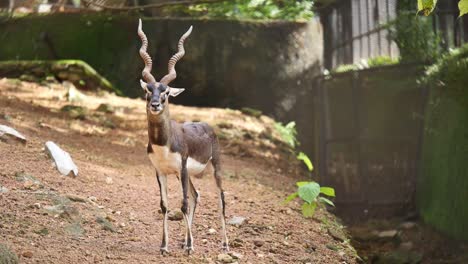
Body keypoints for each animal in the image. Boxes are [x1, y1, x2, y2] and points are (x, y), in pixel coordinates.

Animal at [136, 19, 229, 255]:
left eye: (166, 92)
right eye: (148, 90)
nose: (155, 105)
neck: (164, 144)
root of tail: (206, 125)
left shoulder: (183, 167)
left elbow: (184, 204)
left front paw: (190, 247)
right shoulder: (161, 171)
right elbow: (165, 206)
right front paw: (165, 246)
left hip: (214, 167)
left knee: (220, 199)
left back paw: (224, 244)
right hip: (182, 176)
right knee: (196, 196)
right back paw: (185, 241)